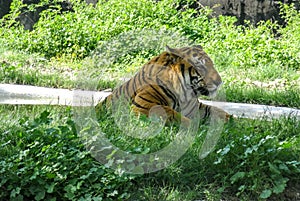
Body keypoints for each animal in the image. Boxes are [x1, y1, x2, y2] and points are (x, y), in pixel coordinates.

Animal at [97, 45, 231, 127]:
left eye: (212, 64)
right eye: (200, 66)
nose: (219, 82)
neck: (185, 93)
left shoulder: (196, 108)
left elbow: (218, 111)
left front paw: (233, 121)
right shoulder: (145, 105)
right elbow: (175, 115)